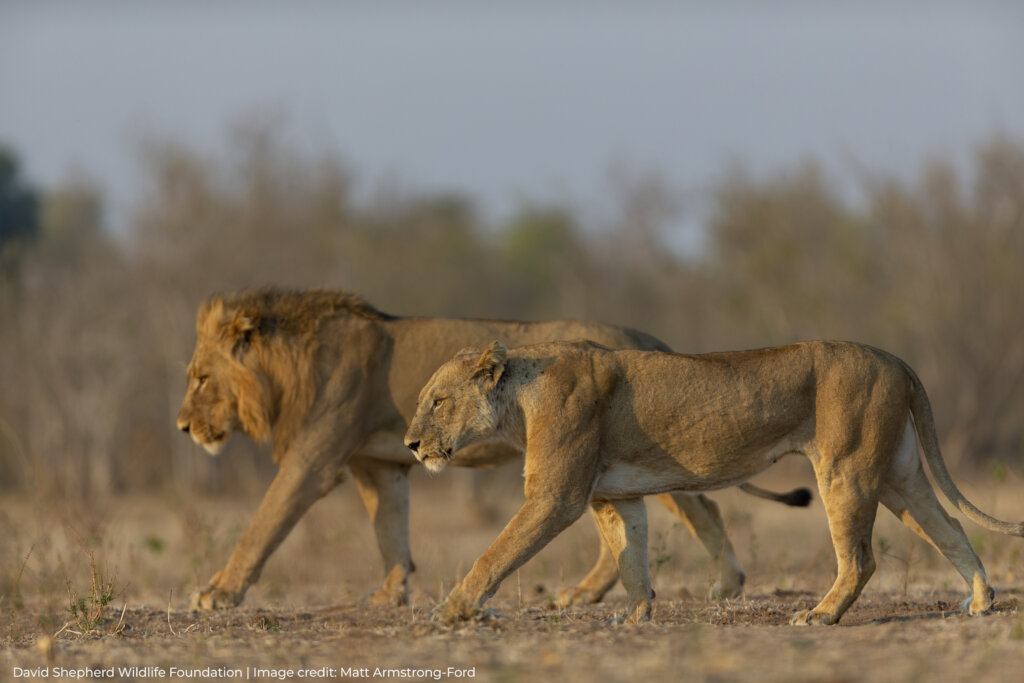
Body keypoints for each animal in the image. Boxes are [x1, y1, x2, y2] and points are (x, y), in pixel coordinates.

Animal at [176, 288, 810, 611]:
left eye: (201, 378)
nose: (181, 427)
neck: (289, 370)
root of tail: (644, 337)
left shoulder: (316, 458)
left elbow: (264, 522)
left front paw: (218, 592)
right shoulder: (379, 464)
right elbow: (390, 529)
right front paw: (392, 593)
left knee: (697, 503)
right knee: (688, 507)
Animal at [404, 339, 1024, 625]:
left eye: (437, 401)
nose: (410, 445)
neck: (518, 397)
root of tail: (895, 359)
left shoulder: (555, 497)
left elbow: (495, 554)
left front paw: (454, 609)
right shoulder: (614, 496)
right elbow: (631, 559)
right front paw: (636, 616)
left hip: (845, 468)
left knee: (862, 558)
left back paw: (820, 615)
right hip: (898, 474)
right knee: (948, 526)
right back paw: (980, 601)